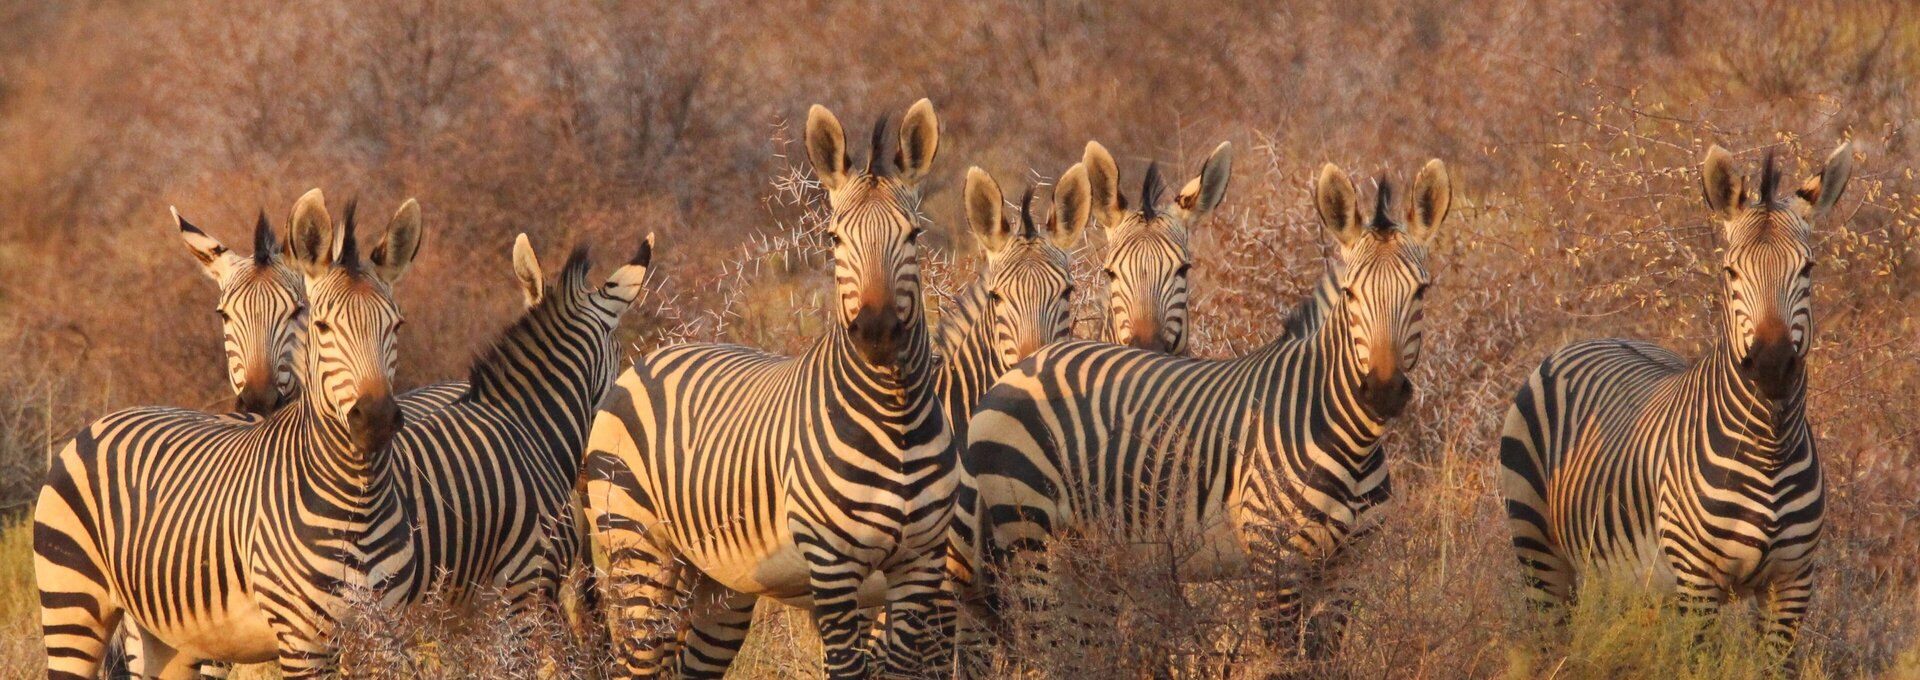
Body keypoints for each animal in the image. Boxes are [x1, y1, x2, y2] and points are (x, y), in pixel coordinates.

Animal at [580, 99, 953, 679]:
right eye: (834, 238)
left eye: (913, 235)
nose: (876, 333)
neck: (895, 416)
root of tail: (651, 359)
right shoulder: (834, 567)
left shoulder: (921, 565)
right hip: (637, 549)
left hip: (718, 583)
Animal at [1498, 143, 1852, 653]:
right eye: (1730, 271)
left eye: (1808, 269)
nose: (1771, 367)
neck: (1769, 444)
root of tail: (1597, 337)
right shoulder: (1698, 583)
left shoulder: (1792, 583)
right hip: (1538, 551)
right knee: (1552, 641)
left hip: (1630, 576)